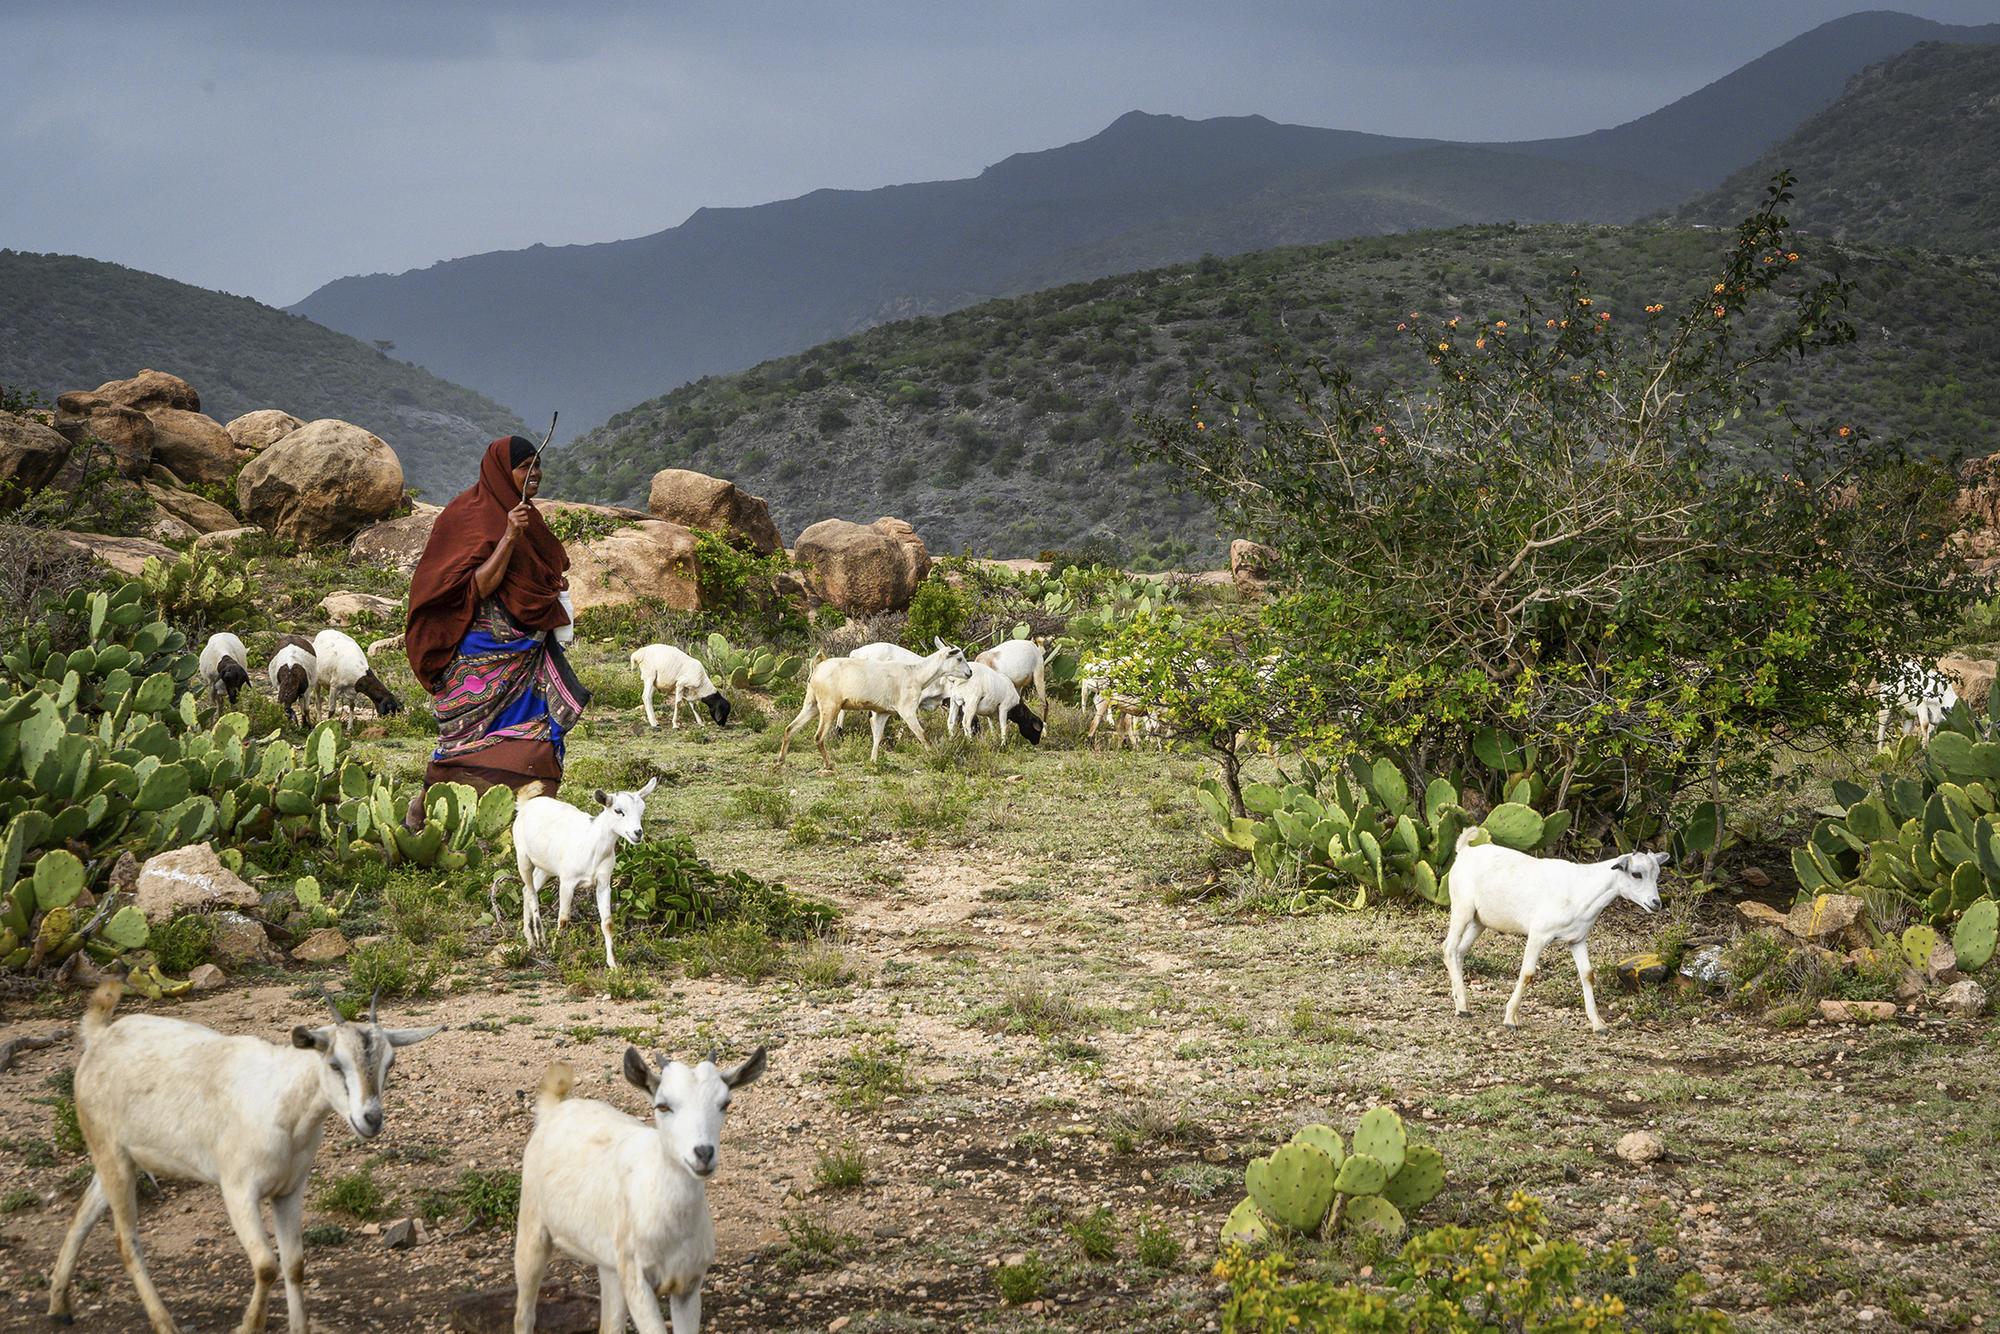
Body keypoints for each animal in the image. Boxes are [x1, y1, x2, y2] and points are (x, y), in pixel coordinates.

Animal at [48, 980, 438, 1334]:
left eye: (390, 1062)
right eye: (334, 1064)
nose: (370, 1119)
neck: (284, 1105)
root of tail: (100, 1038)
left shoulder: (290, 1191)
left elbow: (295, 1263)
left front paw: (298, 1327)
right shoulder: (238, 1190)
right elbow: (266, 1265)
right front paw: (248, 1326)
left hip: (119, 1157)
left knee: (82, 1215)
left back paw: (59, 1307)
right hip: (109, 1151)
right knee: (126, 1242)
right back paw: (164, 1324)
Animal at [508, 772, 656, 972]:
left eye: (642, 810)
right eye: (618, 810)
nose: (637, 833)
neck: (593, 845)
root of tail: (525, 805)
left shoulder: (603, 884)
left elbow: (607, 923)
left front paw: (613, 963)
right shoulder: (567, 882)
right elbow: (563, 918)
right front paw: (555, 950)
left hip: (545, 868)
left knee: (526, 890)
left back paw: (530, 941)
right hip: (523, 858)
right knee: (531, 893)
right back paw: (540, 940)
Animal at [512, 1048, 760, 1334]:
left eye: (725, 1104)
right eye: (663, 1105)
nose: (703, 1153)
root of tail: (554, 1109)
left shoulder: (688, 1282)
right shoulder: (637, 1281)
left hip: (609, 1264)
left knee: (609, 1325)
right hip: (532, 1227)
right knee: (524, 1313)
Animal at [776, 640, 972, 768]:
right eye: (959, 658)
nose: (970, 673)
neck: (914, 674)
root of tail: (818, 667)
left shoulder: (882, 713)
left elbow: (877, 735)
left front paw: (873, 761)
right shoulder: (908, 710)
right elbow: (922, 734)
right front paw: (935, 758)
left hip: (812, 705)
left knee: (790, 728)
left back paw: (780, 761)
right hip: (830, 707)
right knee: (818, 736)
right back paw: (829, 765)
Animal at [1440, 836, 1672, 1032]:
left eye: (1657, 874)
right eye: (1636, 874)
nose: (1655, 903)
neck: (1582, 889)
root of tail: (1464, 849)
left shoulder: (1577, 939)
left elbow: (1587, 975)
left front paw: (1598, 1024)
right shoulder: (1539, 934)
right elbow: (1527, 974)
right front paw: (1510, 1019)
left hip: (1479, 920)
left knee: (1460, 951)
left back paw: (1461, 1002)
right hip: (1461, 908)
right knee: (1449, 947)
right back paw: (1463, 1007)